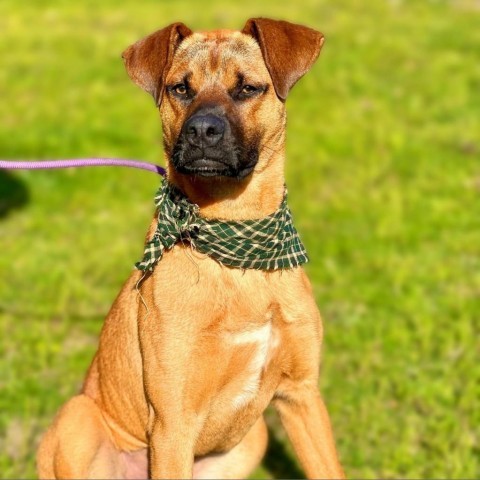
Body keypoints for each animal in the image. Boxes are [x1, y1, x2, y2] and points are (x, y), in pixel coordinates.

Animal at [36, 18, 344, 480]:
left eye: (247, 88)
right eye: (180, 88)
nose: (202, 131)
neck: (236, 248)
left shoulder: (302, 395)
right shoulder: (173, 422)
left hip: (252, 438)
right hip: (79, 418)